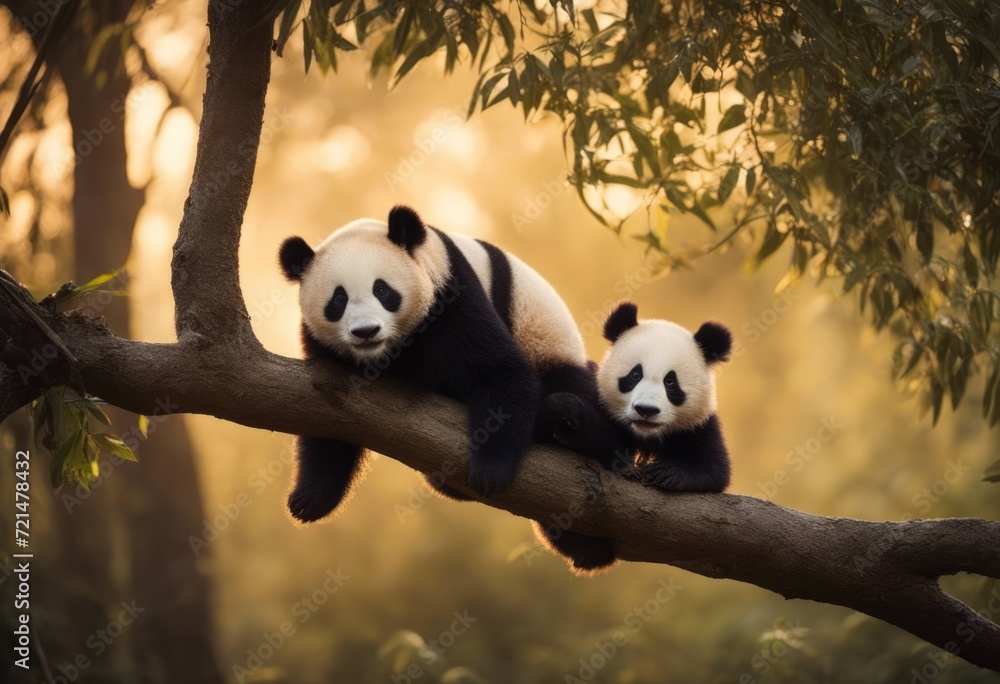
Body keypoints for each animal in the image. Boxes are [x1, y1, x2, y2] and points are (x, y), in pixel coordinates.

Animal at [278, 205, 608, 524]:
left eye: (382, 290)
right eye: (339, 299)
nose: (366, 331)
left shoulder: (447, 293)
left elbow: (498, 370)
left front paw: (490, 472)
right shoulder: (323, 349)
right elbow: (327, 415)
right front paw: (311, 498)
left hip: (547, 342)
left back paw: (569, 422)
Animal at [537, 300, 733, 572]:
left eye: (671, 382)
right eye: (634, 375)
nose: (646, 410)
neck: (645, 434)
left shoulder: (698, 426)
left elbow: (713, 469)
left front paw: (667, 472)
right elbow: (600, 442)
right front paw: (567, 412)